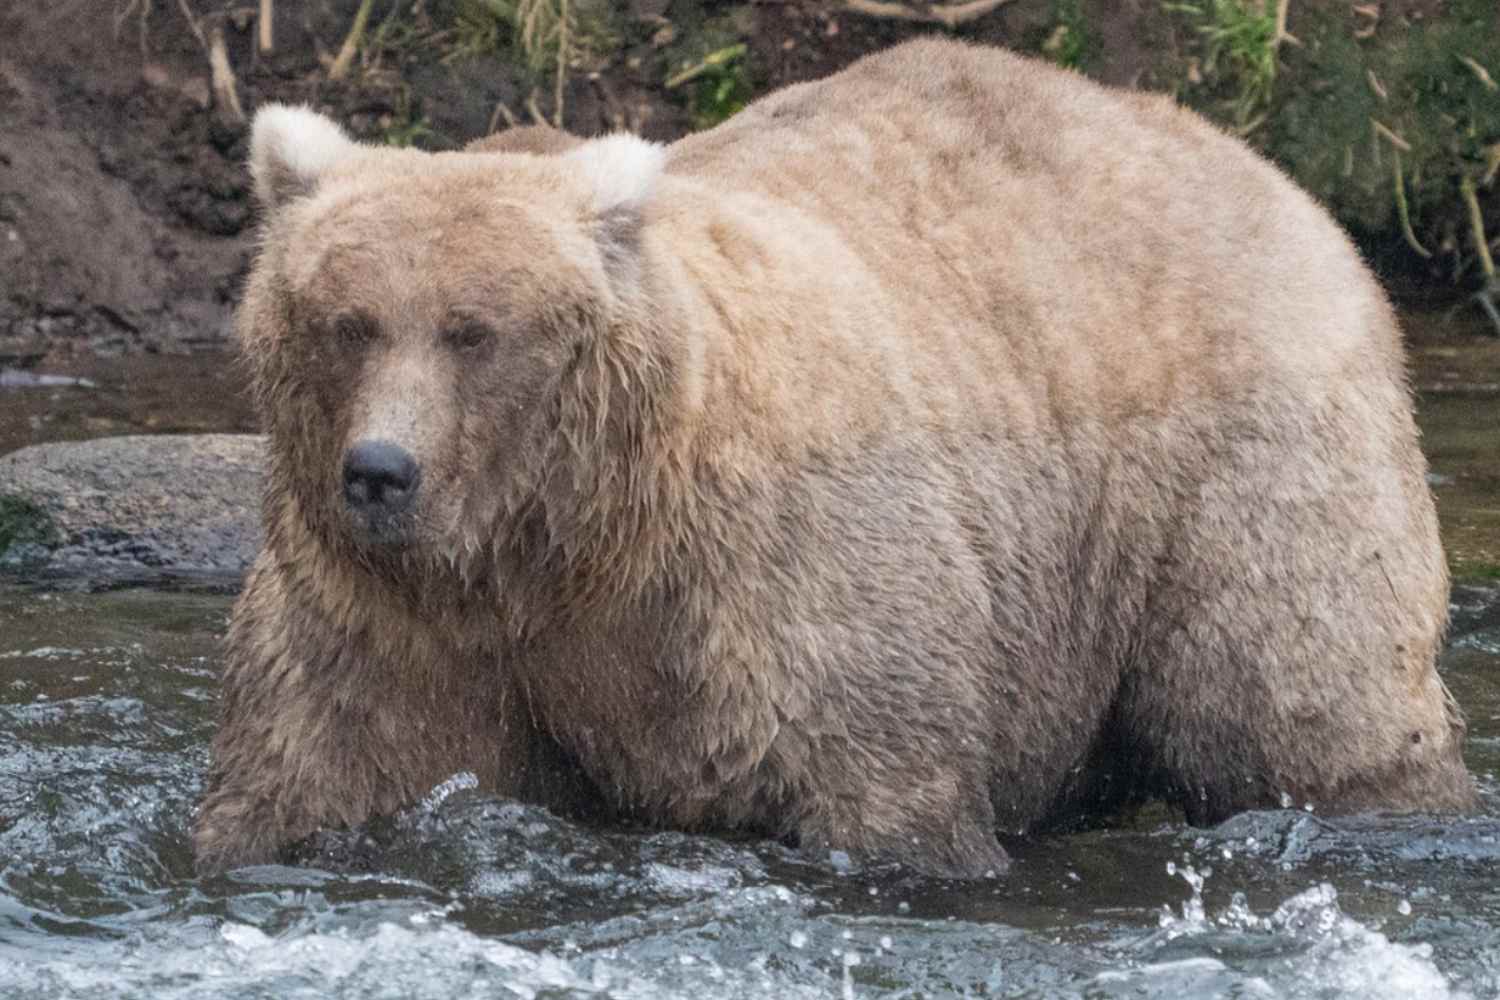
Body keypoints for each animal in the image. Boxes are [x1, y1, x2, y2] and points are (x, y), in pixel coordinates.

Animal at [193, 37, 1476, 877]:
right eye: (347, 320)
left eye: (474, 330)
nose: (380, 471)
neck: (566, 537)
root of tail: (1262, 169)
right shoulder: (393, 615)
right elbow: (323, 765)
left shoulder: (774, 578)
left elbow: (879, 777)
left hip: (1239, 458)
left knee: (1296, 694)